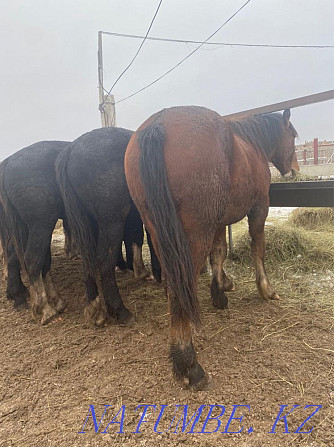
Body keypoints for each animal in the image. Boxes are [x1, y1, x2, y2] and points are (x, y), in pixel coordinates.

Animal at [56, 126, 160, 326]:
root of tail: (70, 152)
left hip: (87, 223)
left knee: (88, 260)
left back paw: (95, 309)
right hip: (111, 221)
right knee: (104, 261)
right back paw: (121, 312)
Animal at [124, 106, 298, 392]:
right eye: (293, 136)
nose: (294, 170)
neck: (250, 145)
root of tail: (157, 125)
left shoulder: (219, 223)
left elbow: (219, 252)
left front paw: (219, 291)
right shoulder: (259, 207)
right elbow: (257, 248)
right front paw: (266, 288)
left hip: (161, 233)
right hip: (192, 237)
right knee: (179, 290)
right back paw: (188, 364)